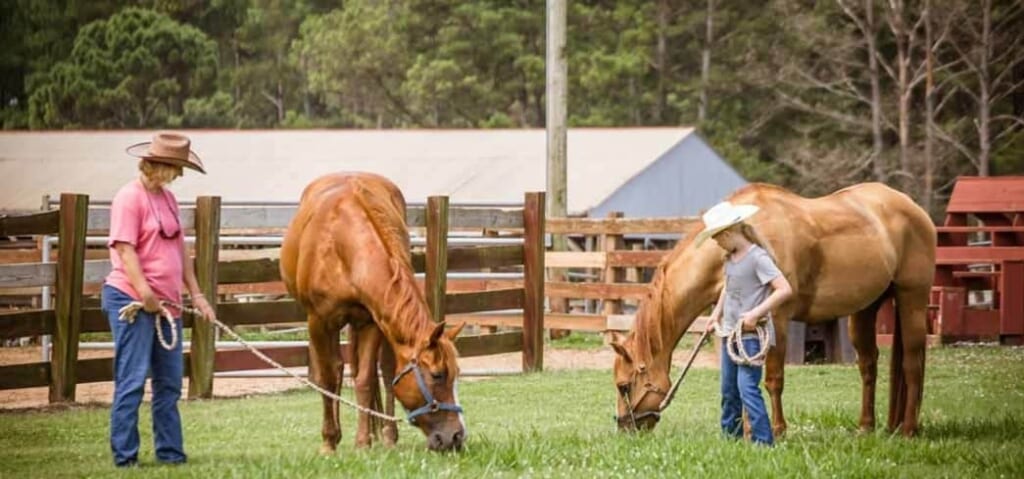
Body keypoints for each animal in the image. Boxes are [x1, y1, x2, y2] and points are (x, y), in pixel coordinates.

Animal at [284, 171, 468, 452]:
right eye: (438, 375)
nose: (456, 436)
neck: (340, 243)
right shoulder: (319, 322)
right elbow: (327, 379)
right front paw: (329, 442)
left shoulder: (369, 323)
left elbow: (365, 380)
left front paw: (363, 442)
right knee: (336, 370)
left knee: (384, 371)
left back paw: (388, 434)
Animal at [606, 182, 937, 438]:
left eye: (623, 386)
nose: (625, 428)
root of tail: (913, 207)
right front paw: (746, 432)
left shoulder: (776, 318)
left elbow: (773, 379)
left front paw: (775, 431)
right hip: (865, 310)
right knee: (868, 366)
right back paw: (866, 427)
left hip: (912, 298)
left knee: (912, 363)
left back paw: (908, 430)